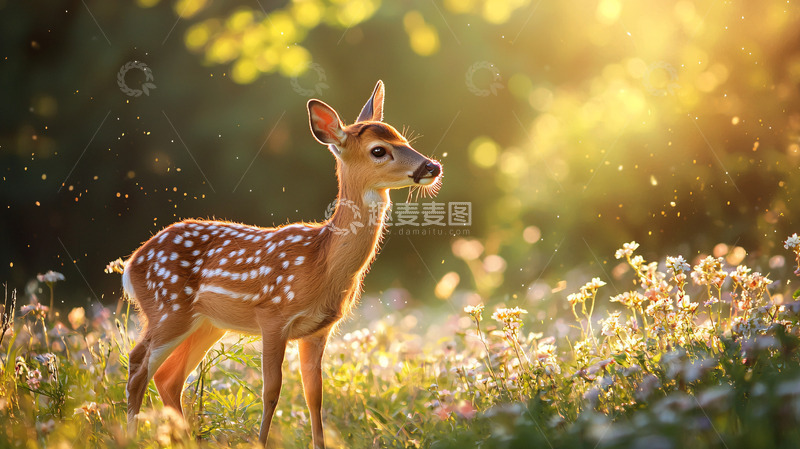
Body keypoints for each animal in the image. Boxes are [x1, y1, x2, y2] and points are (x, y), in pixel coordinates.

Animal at [114, 80, 442, 448]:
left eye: (404, 139)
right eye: (379, 150)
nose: (431, 167)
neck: (322, 263)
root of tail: (131, 265)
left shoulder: (318, 329)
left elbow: (315, 395)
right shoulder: (273, 315)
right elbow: (271, 390)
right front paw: (261, 442)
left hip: (207, 322)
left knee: (169, 377)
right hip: (167, 307)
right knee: (138, 364)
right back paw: (131, 437)